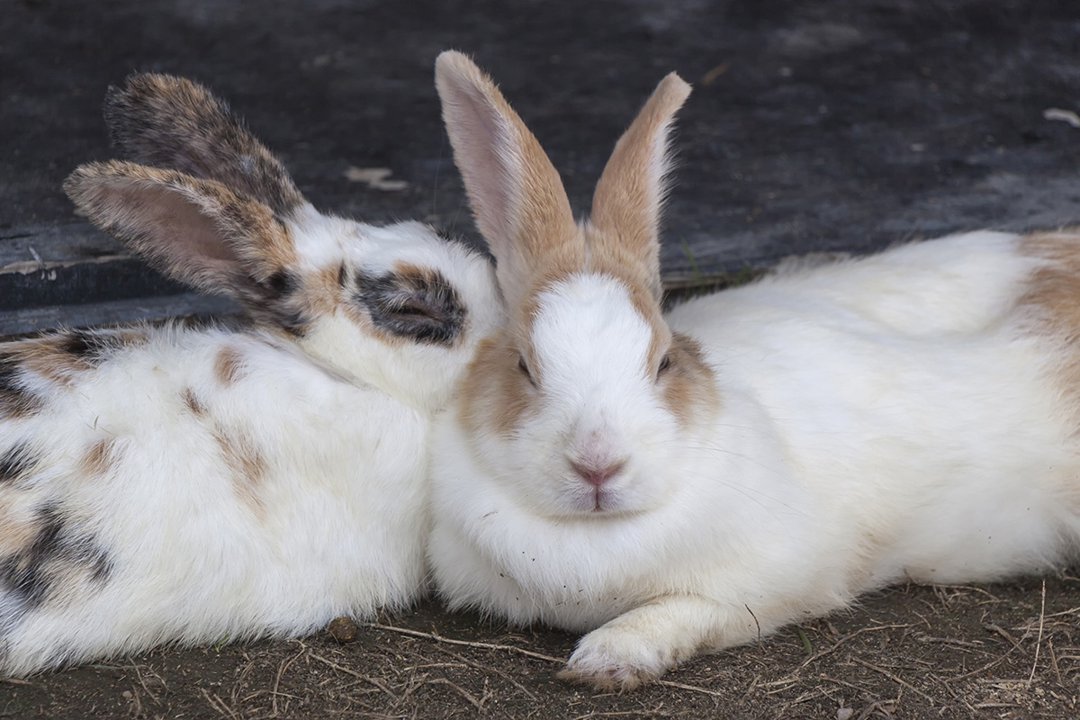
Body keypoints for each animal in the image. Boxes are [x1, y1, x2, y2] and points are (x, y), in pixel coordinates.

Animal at [421, 52, 1080, 690]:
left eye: (664, 361)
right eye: (524, 366)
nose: (598, 465)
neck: (593, 536)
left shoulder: (776, 584)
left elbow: (682, 608)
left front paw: (608, 660)